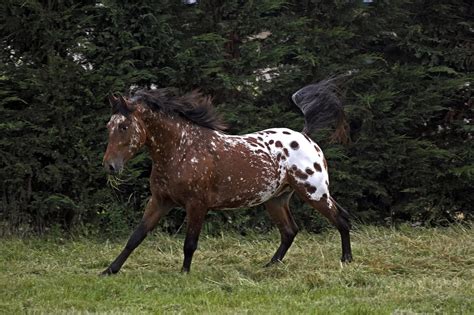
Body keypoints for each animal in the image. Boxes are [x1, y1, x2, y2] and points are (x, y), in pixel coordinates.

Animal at [102, 78, 354, 276]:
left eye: (124, 127)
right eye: (108, 126)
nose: (110, 166)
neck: (182, 149)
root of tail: (306, 137)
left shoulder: (197, 204)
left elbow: (189, 243)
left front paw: (184, 274)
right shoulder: (160, 201)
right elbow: (136, 236)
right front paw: (109, 270)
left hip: (314, 192)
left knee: (341, 219)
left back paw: (346, 261)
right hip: (276, 199)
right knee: (289, 231)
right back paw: (269, 266)